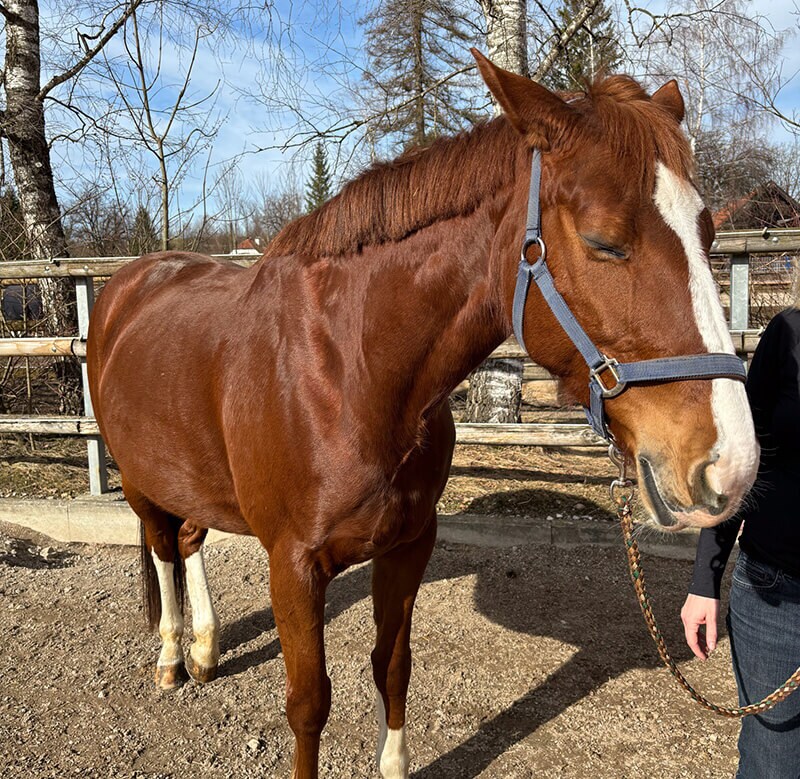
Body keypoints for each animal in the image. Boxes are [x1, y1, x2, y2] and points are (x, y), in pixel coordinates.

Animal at [86, 51, 759, 779]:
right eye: (604, 241)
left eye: (708, 233)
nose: (732, 464)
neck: (352, 371)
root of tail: (129, 282)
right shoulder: (293, 566)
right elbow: (308, 703)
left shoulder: (409, 544)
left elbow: (393, 665)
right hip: (140, 482)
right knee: (162, 549)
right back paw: (171, 657)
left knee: (188, 541)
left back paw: (206, 649)